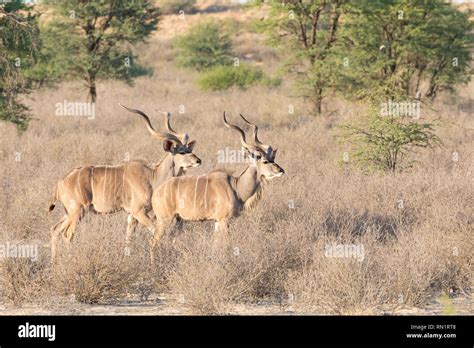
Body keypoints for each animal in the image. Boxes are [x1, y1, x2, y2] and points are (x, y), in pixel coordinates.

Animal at [49, 104, 201, 260]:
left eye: (189, 148)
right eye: (182, 152)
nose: (198, 160)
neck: (152, 176)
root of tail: (61, 182)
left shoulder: (131, 215)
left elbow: (129, 237)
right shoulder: (138, 211)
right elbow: (155, 231)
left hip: (69, 212)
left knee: (54, 229)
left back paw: (54, 262)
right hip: (78, 211)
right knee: (67, 235)